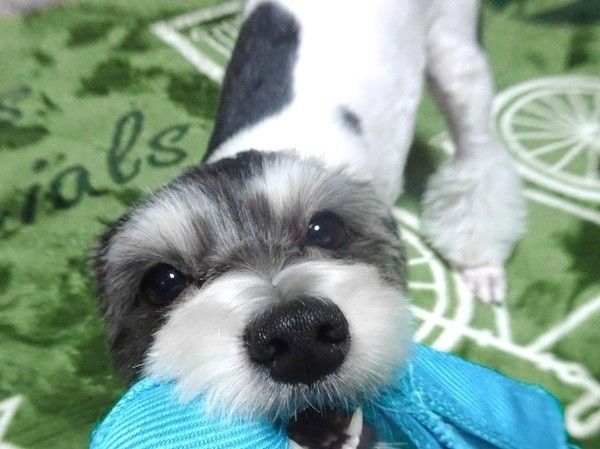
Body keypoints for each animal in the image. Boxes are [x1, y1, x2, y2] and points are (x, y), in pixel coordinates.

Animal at [94, 1, 525, 448]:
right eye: (162, 282)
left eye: (327, 229)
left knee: (479, 147)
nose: (299, 333)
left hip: (455, 54)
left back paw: (481, 261)